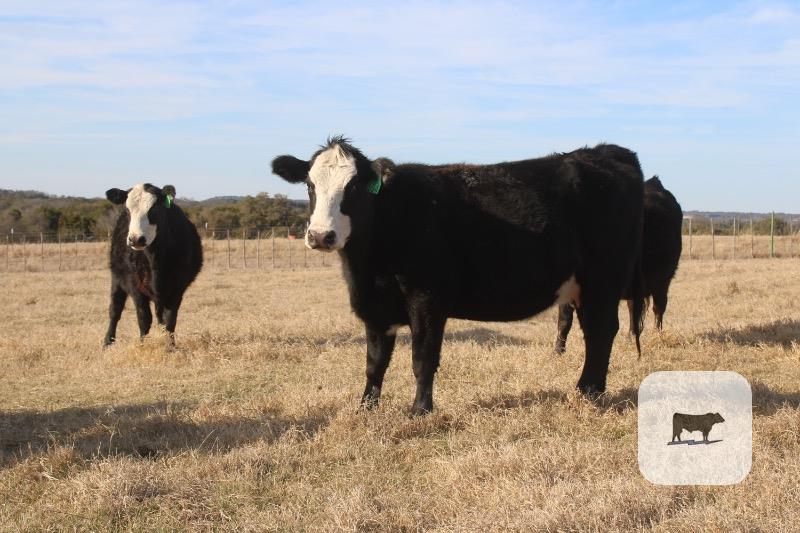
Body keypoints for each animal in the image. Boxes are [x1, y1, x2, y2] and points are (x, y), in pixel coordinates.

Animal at [102, 183, 203, 349]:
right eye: (128, 210)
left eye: (154, 210)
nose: (136, 239)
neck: (154, 258)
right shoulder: (135, 287)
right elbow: (144, 319)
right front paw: (143, 346)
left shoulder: (177, 288)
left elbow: (170, 320)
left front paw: (170, 346)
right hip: (116, 279)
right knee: (115, 310)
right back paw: (107, 342)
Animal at [271, 136, 645, 415]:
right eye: (309, 185)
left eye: (353, 187)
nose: (321, 235)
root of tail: (606, 152)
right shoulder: (375, 307)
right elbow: (375, 362)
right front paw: (366, 408)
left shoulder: (427, 300)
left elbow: (423, 357)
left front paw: (420, 411)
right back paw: (587, 391)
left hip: (603, 280)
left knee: (601, 332)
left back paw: (589, 393)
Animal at [554, 175, 682, 355]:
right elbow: (564, 321)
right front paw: (558, 351)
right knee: (633, 309)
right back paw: (631, 336)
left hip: (663, 280)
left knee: (659, 307)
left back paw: (658, 335)